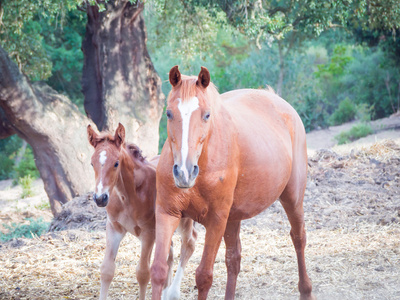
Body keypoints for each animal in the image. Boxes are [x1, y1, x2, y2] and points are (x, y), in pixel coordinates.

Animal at [87, 123, 197, 298]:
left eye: (116, 163)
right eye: (92, 163)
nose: (100, 198)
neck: (127, 196)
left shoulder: (148, 232)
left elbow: (143, 272)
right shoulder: (114, 228)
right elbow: (107, 270)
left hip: (184, 221)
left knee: (189, 243)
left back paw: (173, 293)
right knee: (170, 253)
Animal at [150, 66, 316, 300]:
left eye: (207, 115)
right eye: (169, 113)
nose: (184, 172)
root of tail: (277, 100)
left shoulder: (216, 220)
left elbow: (204, 276)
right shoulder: (167, 213)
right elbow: (158, 270)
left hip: (292, 198)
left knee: (298, 237)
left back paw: (306, 290)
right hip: (233, 218)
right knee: (233, 259)